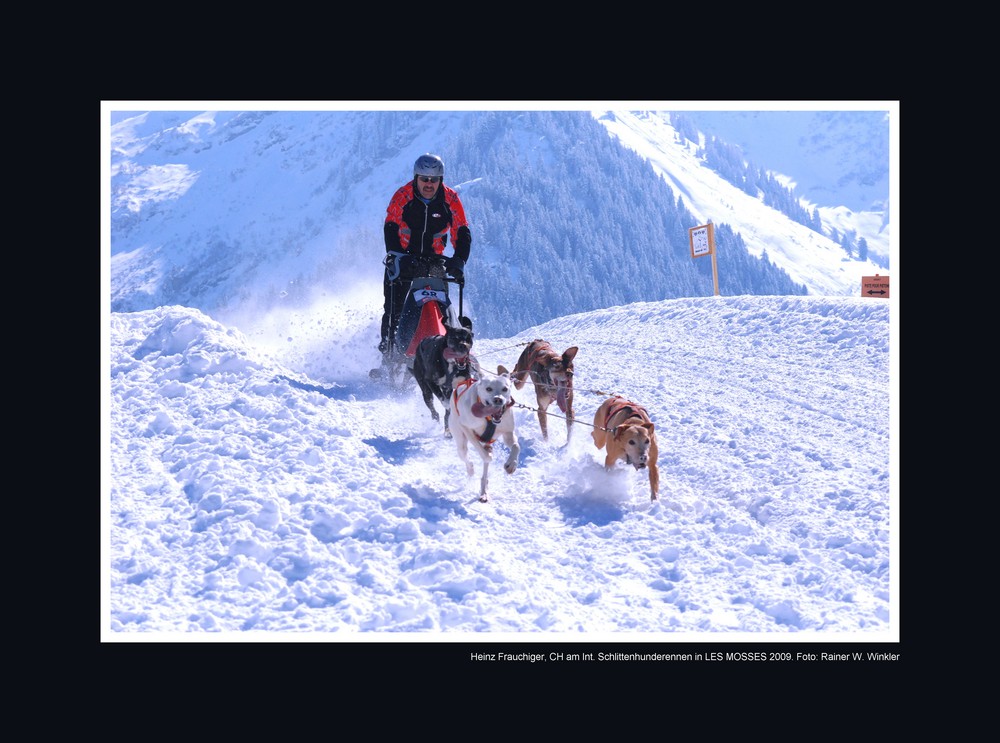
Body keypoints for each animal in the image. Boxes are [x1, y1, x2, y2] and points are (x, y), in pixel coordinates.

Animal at [450, 364, 520, 502]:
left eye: (505, 388)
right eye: (488, 389)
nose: (498, 399)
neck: (489, 419)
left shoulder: (508, 432)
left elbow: (516, 446)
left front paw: (511, 465)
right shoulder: (466, 427)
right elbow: (485, 456)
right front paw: (488, 454)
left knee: (484, 473)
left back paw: (484, 492)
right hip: (460, 441)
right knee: (467, 457)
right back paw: (472, 470)